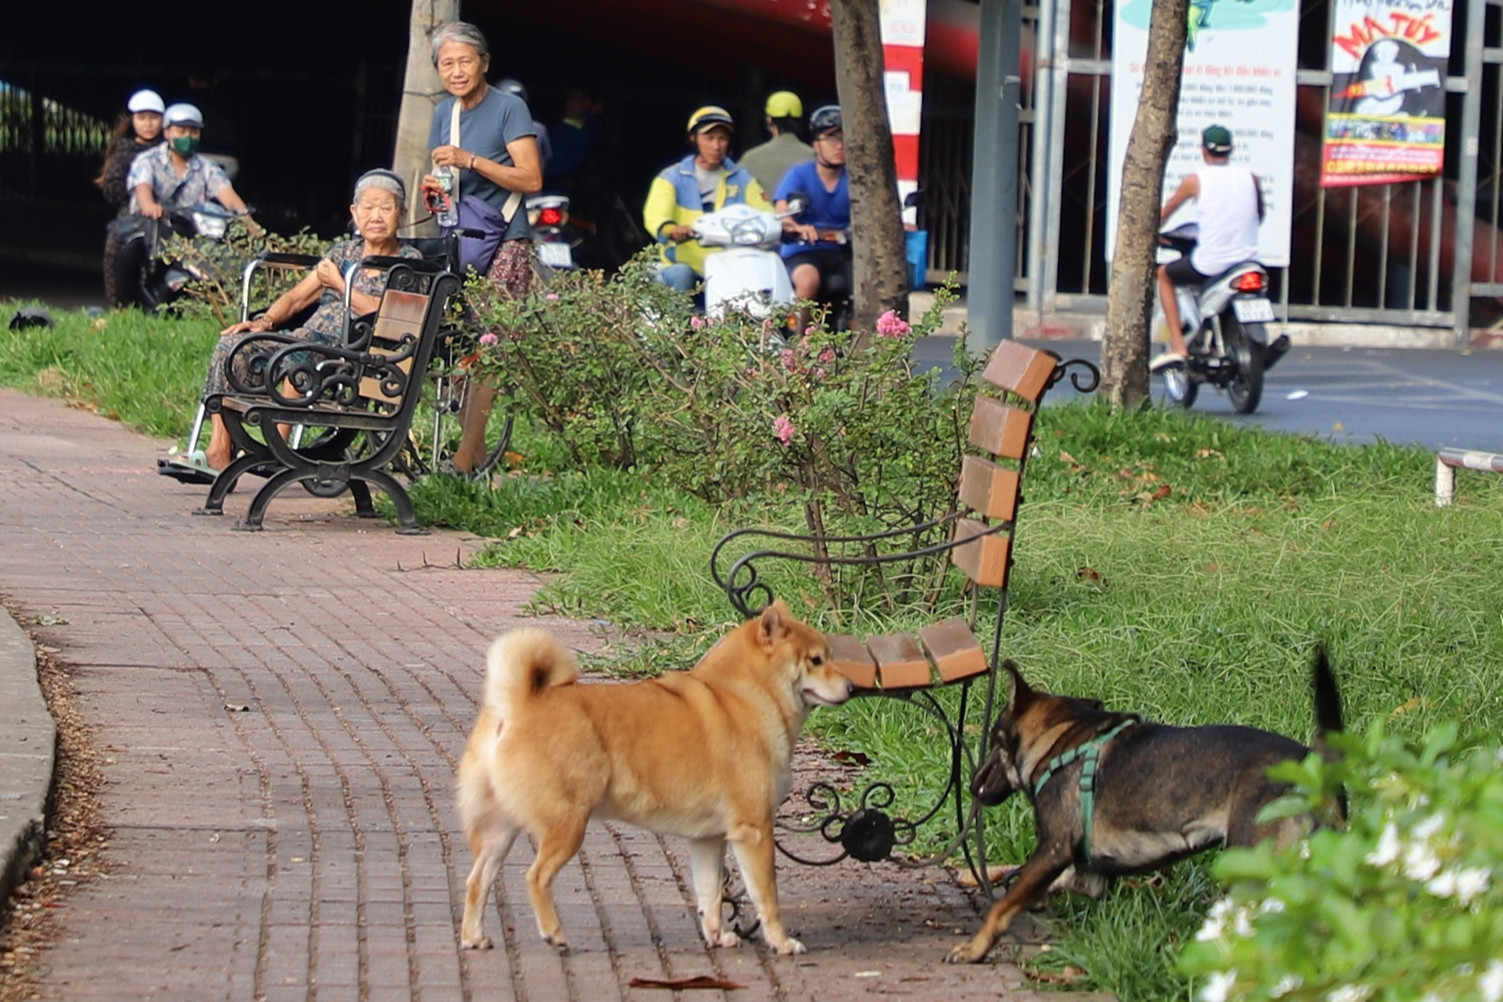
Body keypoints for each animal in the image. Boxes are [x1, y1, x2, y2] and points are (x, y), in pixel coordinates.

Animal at [453, 600, 859, 961]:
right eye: (816, 660)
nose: (854, 688)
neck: (746, 696)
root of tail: (517, 704)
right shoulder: (754, 831)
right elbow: (766, 898)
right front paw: (781, 942)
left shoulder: (708, 840)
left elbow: (710, 895)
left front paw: (717, 936)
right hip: (567, 825)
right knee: (535, 878)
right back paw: (554, 934)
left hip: (500, 832)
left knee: (477, 880)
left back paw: (474, 937)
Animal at [943, 651, 1346, 961]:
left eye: (994, 740)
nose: (974, 785)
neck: (1058, 741)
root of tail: (1315, 767)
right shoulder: (1088, 876)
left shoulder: (1053, 849)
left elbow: (1003, 906)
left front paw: (974, 949)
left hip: (1254, 872)